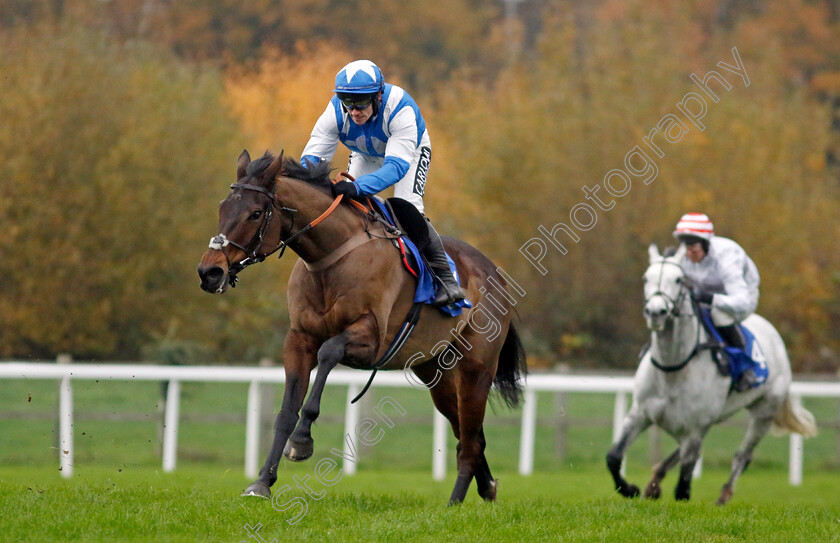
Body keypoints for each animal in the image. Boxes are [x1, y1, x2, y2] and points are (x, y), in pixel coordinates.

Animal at [197, 150, 524, 506]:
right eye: (222, 208)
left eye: (255, 213)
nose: (210, 272)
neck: (330, 258)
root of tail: (495, 274)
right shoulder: (299, 339)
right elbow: (286, 412)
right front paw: (261, 482)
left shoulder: (371, 339)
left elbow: (328, 353)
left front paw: (301, 440)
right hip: (436, 372)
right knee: (469, 434)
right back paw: (486, 487)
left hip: (475, 369)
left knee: (470, 440)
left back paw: (453, 503)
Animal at [608, 243, 816, 506]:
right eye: (646, 277)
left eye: (678, 280)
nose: (656, 312)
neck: (673, 368)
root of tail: (773, 333)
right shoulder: (640, 413)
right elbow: (614, 456)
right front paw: (630, 489)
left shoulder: (696, 426)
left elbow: (684, 485)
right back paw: (654, 482)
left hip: (764, 412)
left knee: (742, 456)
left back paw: (724, 495)